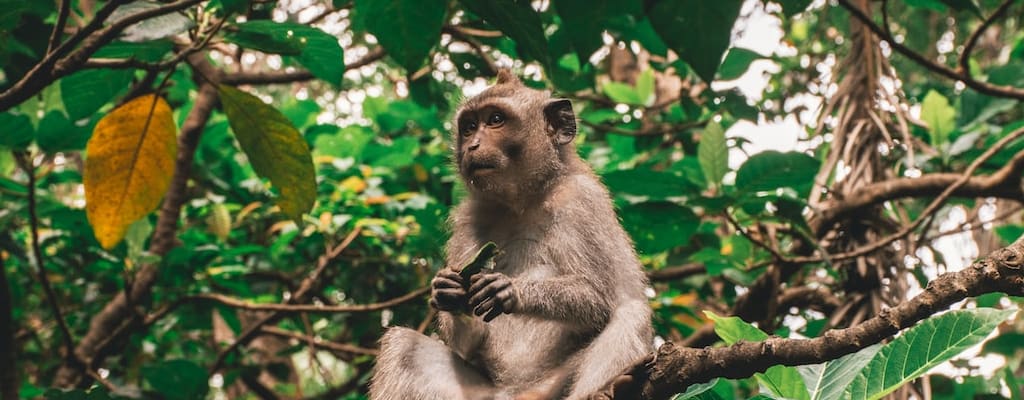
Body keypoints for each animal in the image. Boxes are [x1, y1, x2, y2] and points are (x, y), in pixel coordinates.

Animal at [369, 69, 653, 400]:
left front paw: (510, 290)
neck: (524, 201)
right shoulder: (468, 219)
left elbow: (598, 299)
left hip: (552, 386)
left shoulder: (580, 199)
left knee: (631, 314)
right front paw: (448, 290)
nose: (472, 145)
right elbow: (467, 344)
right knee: (403, 345)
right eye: (468, 127)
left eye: (495, 119)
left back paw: (616, 386)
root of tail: (516, 392)